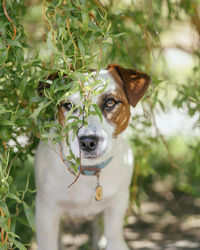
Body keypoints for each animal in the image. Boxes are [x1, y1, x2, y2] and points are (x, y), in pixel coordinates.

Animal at [34, 64, 150, 250]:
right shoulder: (46, 212)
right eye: (68, 105)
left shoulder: (116, 205)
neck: (88, 171)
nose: (88, 142)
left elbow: (113, 236)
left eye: (110, 102)